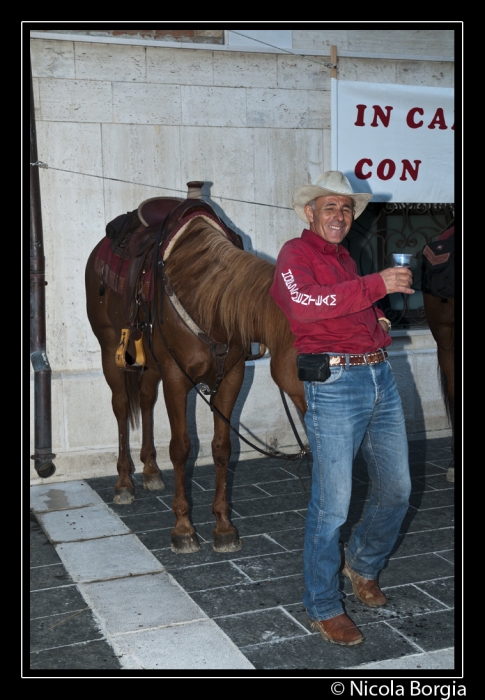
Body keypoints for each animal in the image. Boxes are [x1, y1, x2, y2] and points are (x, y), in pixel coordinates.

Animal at [84, 194, 304, 556]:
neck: (208, 298)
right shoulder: (176, 379)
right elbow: (181, 448)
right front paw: (184, 529)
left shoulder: (232, 378)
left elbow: (222, 448)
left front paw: (224, 528)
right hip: (109, 350)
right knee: (121, 406)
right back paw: (124, 482)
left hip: (150, 363)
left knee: (146, 399)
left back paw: (150, 471)